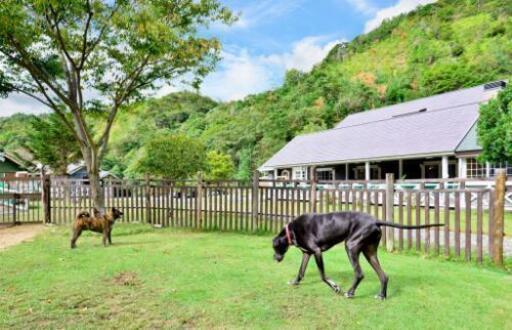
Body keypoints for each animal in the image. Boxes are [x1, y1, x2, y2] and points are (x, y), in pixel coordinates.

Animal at [272, 213, 444, 300]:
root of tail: (375, 220)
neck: (291, 231)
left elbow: (322, 276)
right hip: (369, 252)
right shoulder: (307, 253)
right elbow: (301, 272)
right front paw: (294, 282)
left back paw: (350, 293)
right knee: (384, 275)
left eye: (275, 247)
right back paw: (382, 295)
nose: (275, 258)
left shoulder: (317, 251)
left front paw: (335, 287)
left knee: (359, 273)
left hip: (351, 246)